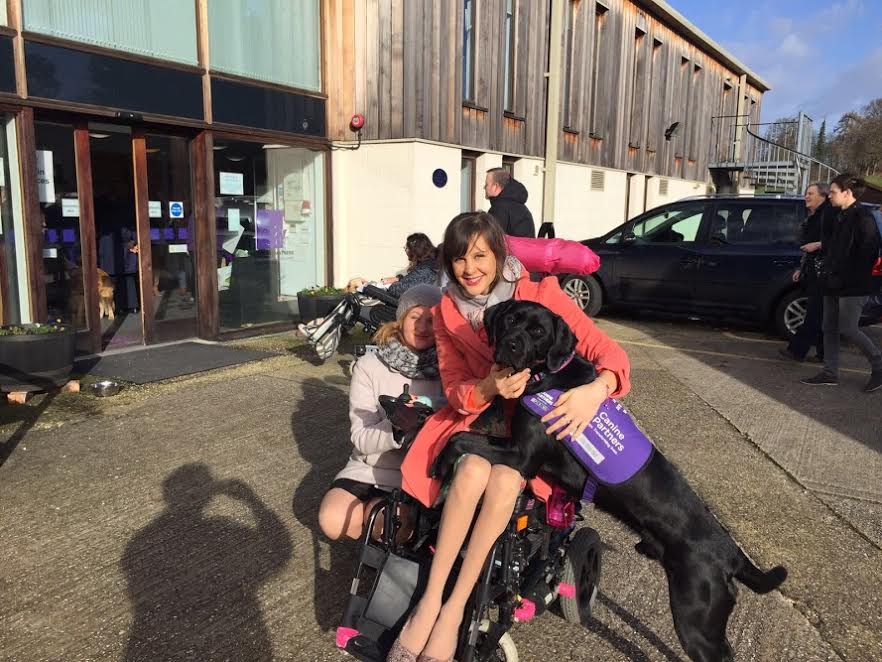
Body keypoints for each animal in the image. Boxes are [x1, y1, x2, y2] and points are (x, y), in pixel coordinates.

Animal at [431, 300, 787, 662]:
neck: (549, 375)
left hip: (696, 617)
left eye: (538, 331)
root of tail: (733, 555)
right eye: (510, 319)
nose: (511, 344)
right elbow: (468, 432)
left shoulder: (522, 457)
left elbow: (459, 439)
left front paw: (440, 468)